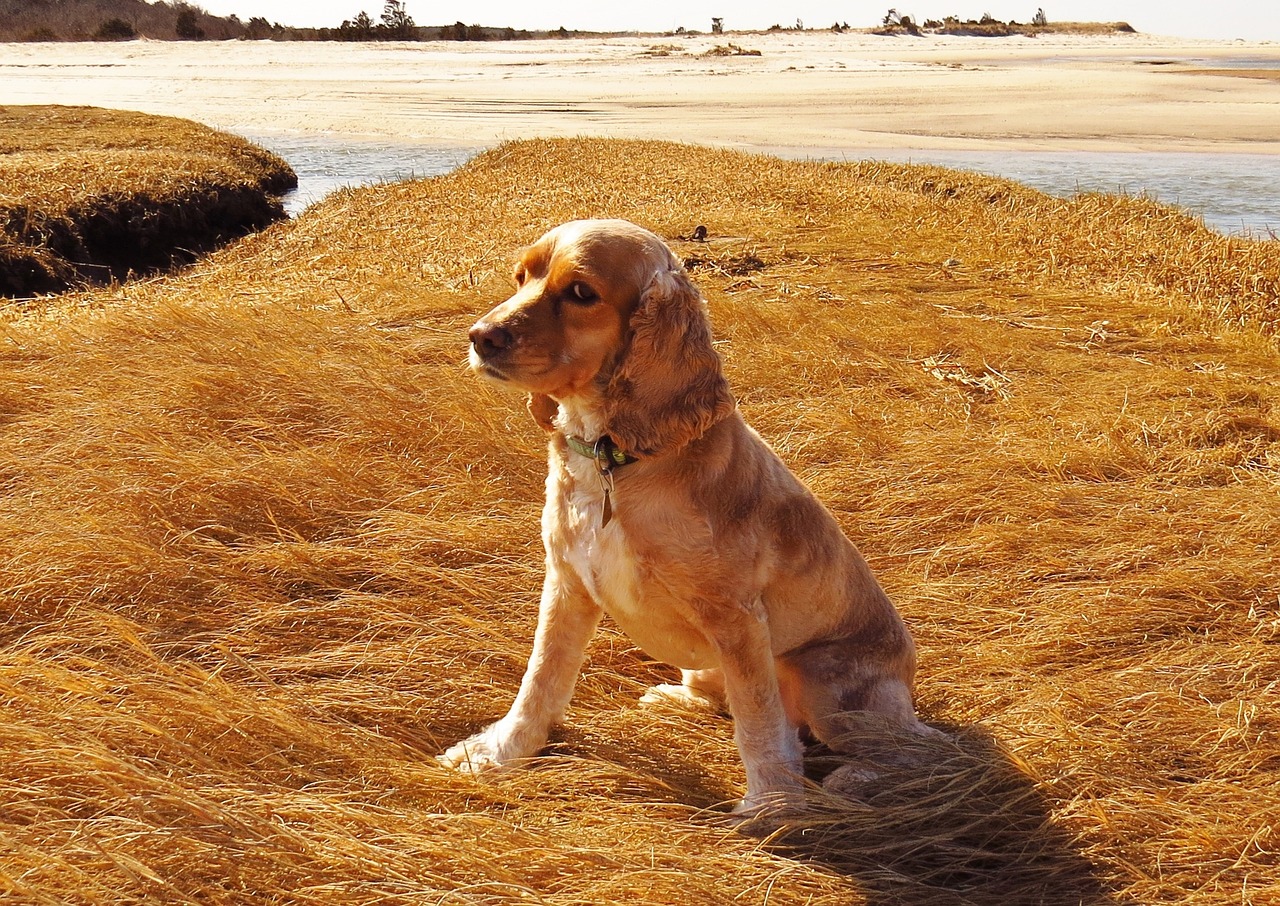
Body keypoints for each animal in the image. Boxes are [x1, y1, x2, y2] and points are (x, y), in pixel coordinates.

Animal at [437, 221, 931, 818]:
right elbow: (541, 679)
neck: (611, 459)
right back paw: (676, 699)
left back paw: (853, 779)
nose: (480, 336)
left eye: (581, 292)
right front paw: (499, 751)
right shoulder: (567, 584)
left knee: (914, 748)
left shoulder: (737, 619)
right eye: (520, 276)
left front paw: (772, 806)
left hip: (826, 680)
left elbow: (759, 725)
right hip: (714, 664)